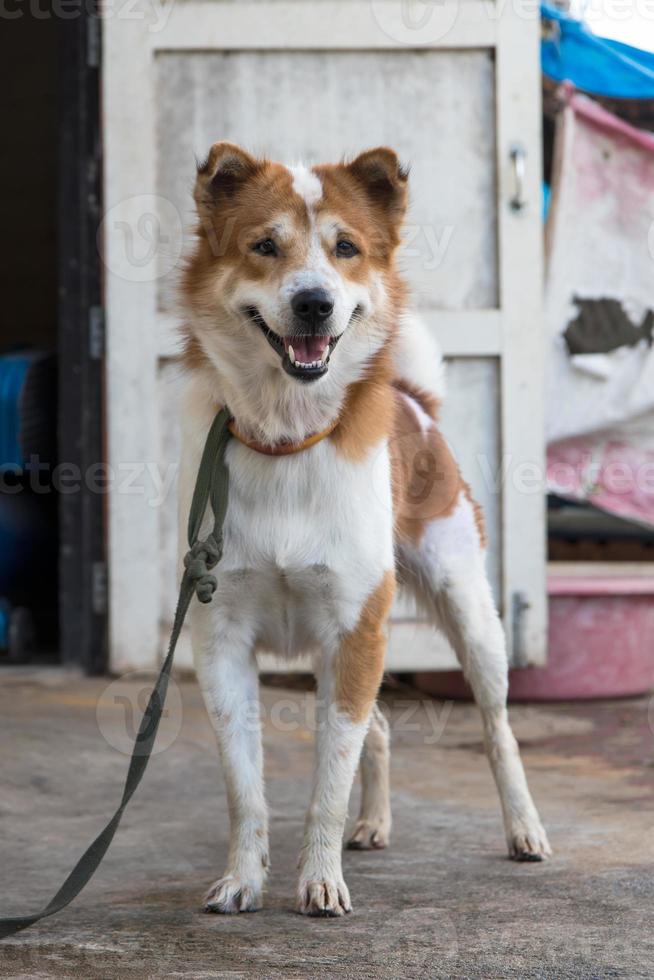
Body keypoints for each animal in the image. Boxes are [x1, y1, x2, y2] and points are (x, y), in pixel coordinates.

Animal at [177, 144, 552, 920]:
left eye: (345, 248)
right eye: (265, 247)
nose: (314, 302)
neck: (288, 440)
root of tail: (413, 402)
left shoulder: (355, 633)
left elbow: (328, 781)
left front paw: (319, 880)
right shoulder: (223, 639)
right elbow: (245, 787)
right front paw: (243, 879)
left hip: (469, 616)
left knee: (498, 730)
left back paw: (524, 829)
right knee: (377, 728)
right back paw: (374, 824)